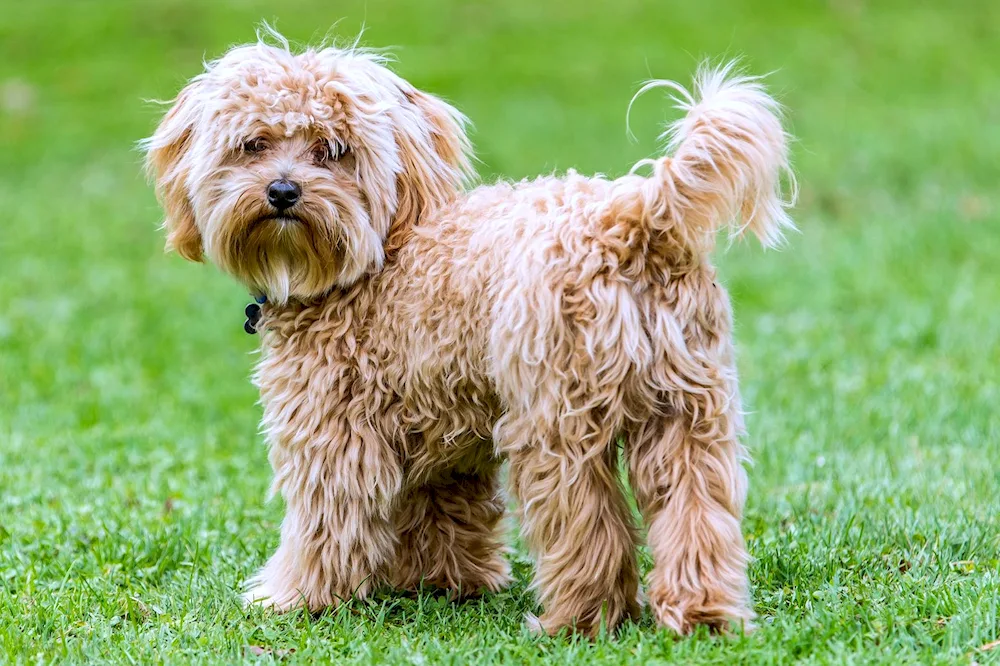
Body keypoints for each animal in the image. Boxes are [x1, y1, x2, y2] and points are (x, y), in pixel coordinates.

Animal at [143, 33, 796, 636]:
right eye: (252, 144)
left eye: (334, 151)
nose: (282, 191)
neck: (376, 256)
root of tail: (632, 222)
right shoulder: (443, 441)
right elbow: (446, 513)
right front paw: (446, 584)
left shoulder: (334, 430)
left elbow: (328, 522)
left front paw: (293, 597)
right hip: (689, 413)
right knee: (697, 512)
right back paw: (701, 616)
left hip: (555, 423)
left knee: (587, 527)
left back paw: (576, 621)